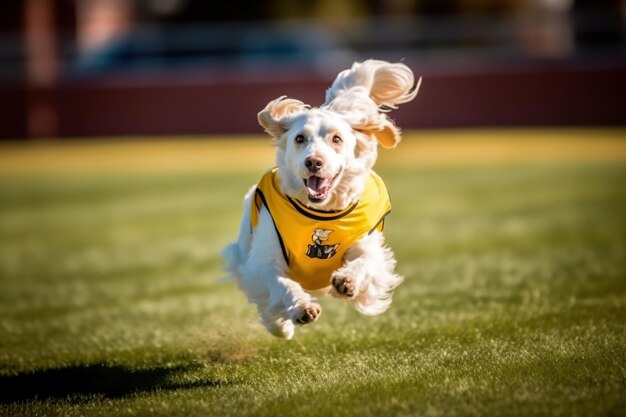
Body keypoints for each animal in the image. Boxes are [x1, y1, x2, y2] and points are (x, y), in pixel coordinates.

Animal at [221, 59, 420, 338]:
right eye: (299, 138)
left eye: (336, 139)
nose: (313, 162)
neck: (322, 212)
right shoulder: (261, 262)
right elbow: (281, 284)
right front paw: (301, 308)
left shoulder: (368, 244)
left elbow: (366, 263)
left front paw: (347, 281)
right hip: (242, 251)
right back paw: (280, 326)